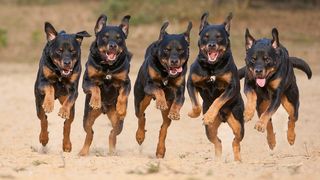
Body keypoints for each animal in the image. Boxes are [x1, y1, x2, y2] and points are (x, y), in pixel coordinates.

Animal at [34, 22, 90, 152]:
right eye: (59, 51)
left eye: (73, 51)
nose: (67, 62)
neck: (60, 73)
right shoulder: (42, 83)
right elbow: (50, 87)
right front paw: (49, 104)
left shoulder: (74, 90)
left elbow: (70, 100)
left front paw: (63, 111)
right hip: (38, 102)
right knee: (43, 118)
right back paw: (44, 138)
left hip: (71, 109)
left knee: (67, 124)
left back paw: (67, 145)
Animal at [79, 14, 131, 156]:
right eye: (105, 36)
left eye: (119, 38)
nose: (112, 45)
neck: (108, 67)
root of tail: (104, 110)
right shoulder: (86, 82)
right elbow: (95, 87)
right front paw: (96, 101)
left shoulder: (126, 82)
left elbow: (123, 95)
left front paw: (121, 108)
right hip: (87, 117)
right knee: (90, 132)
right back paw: (83, 152)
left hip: (118, 122)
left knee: (113, 133)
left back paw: (112, 151)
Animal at [134, 21, 191, 158]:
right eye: (167, 49)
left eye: (181, 50)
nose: (174, 61)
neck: (166, 74)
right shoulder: (149, 85)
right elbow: (159, 89)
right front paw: (161, 102)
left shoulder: (180, 90)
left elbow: (178, 101)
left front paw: (175, 113)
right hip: (141, 99)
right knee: (141, 115)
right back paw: (140, 136)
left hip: (166, 113)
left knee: (164, 126)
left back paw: (160, 150)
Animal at [186, 12, 244, 161]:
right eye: (206, 36)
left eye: (219, 36)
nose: (212, 45)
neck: (212, 68)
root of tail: (223, 118)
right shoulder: (191, 83)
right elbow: (196, 105)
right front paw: (194, 114)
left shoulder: (231, 87)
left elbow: (219, 100)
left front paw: (209, 116)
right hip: (210, 130)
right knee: (218, 141)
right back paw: (217, 160)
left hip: (238, 122)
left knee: (236, 140)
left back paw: (237, 160)